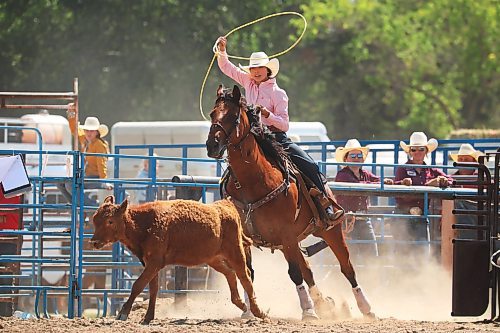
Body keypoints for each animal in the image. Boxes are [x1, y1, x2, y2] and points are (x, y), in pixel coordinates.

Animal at [90, 196, 266, 322]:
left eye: (110, 221)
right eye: (94, 219)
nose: (93, 242)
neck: (144, 224)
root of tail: (226, 206)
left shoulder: (154, 263)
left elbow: (138, 285)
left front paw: (123, 313)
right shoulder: (150, 263)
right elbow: (153, 288)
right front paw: (148, 317)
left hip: (235, 253)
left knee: (245, 277)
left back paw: (258, 312)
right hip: (214, 259)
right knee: (230, 274)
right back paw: (241, 304)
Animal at [205, 84, 374, 318]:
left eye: (233, 116)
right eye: (213, 114)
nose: (212, 145)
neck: (254, 180)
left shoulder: (286, 233)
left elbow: (294, 273)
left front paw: (308, 311)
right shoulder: (247, 238)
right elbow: (247, 272)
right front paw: (250, 311)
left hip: (328, 231)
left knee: (346, 267)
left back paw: (365, 307)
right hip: (292, 241)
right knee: (308, 269)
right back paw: (323, 304)